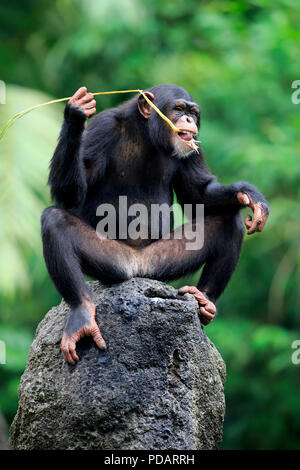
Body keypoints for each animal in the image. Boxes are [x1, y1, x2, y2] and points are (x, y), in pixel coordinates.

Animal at [41, 84, 270, 364]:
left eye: (194, 113)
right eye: (179, 109)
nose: (189, 120)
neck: (146, 133)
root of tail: (139, 267)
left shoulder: (192, 147)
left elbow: (198, 194)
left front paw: (249, 195)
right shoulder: (101, 128)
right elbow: (71, 195)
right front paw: (76, 113)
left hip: (161, 263)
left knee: (229, 221)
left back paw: (203, 299)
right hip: (113, 261)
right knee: (55, 221)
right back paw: (82, 313)